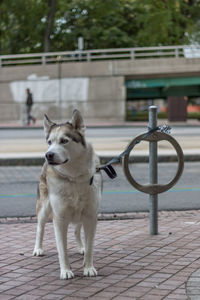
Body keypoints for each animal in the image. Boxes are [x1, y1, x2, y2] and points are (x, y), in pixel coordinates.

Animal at [33, 110, 101, 278]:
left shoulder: (91, 216)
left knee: (77, 230)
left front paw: (88, 267)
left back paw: (81, 247)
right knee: (40, 228)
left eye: (64, 140)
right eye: (49, 142)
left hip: (81, 215)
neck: (74, 177)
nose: (48, 155)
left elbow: (90, 247)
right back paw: (38, 249)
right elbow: (62, 250)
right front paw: (66, 271)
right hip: (44, 208)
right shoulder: (59, 218)